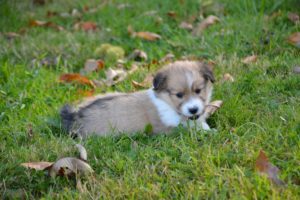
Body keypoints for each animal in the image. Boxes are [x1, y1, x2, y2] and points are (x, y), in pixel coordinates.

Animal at [61, 60, 214, 138]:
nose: (193, 109)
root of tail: (74, 116)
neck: (167, 102)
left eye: (198, 90)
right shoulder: (170, 127)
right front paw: (209, 132)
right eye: (179, 95)